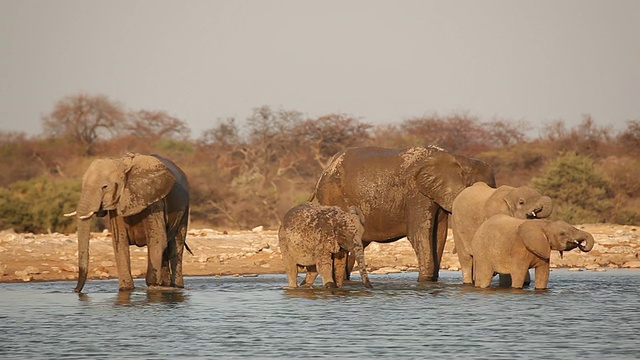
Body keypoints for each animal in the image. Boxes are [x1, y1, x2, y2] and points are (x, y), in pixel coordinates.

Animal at [65, 152, 190, 292]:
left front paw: (152, 286)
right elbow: (119, 243)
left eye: (105, 187)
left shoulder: (153, 200)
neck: (121, 163)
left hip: (184, 209)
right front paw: (126, 289)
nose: (75, 291)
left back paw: (177, 287)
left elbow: (157, 239)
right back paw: (166, 285)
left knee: (176, 246)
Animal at [308, 146, 496, 284]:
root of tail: (325, 170)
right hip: (332, 196)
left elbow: (439, 235)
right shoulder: (416, 193)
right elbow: (420, 235)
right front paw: (424, 281)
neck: (460, 159)